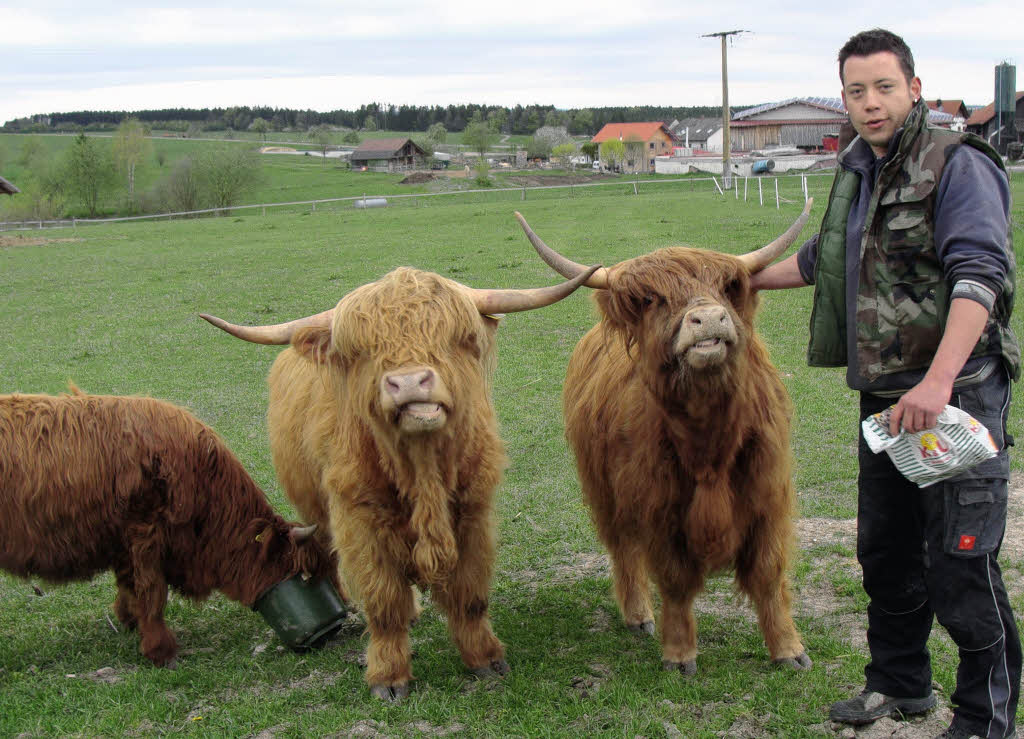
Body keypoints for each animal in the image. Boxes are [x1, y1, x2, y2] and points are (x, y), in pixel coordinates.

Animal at [202, 262, 598, 700]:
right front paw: (388, 678)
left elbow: (469, 596)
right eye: (361, 351)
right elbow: (384, 603)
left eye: (454, 337)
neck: (423, 475)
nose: (408, 382)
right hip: (315, 510)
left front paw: (486, 660)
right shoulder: (360, 523)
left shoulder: (474, 515)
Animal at [520, 201, 815, 675]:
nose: (709, 318)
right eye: (651, 299)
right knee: (623, 548)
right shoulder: (659, 507)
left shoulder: (767, 496)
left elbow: (769, 575)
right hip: (603, 490)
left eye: (725, 287)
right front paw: (679, 654)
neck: (709, 445)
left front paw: (789, 649)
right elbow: (675, 582)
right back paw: (639, 615)